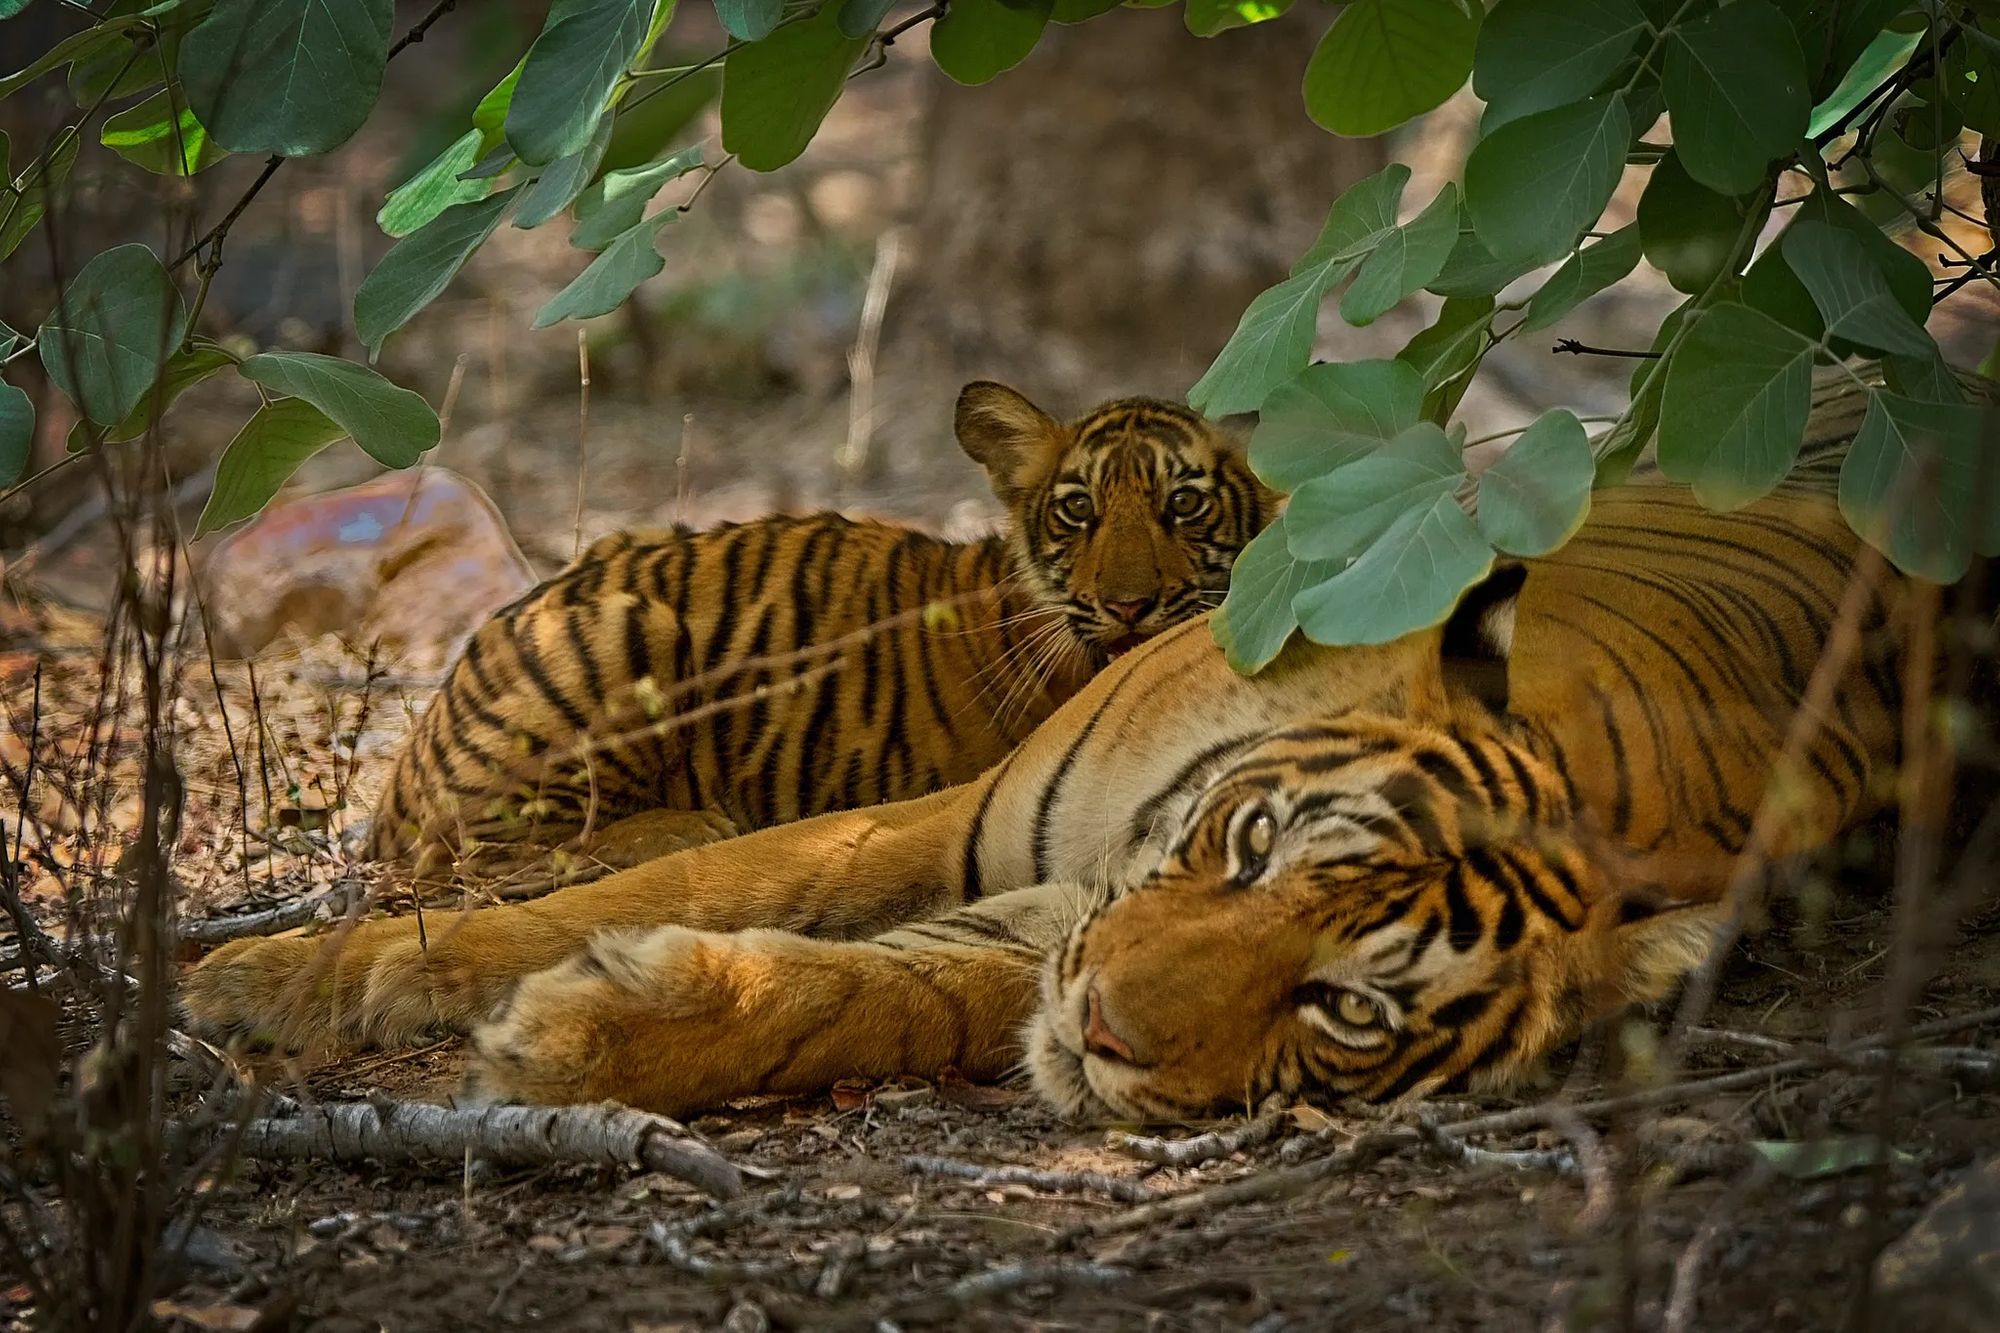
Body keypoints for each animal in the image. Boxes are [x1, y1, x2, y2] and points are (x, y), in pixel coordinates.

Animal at [360, 378, 1264, 876]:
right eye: (1078, 511)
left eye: (1184, 503)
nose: (1128, 605)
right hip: (626, 627)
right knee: (473, 852)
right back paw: (688, 825)